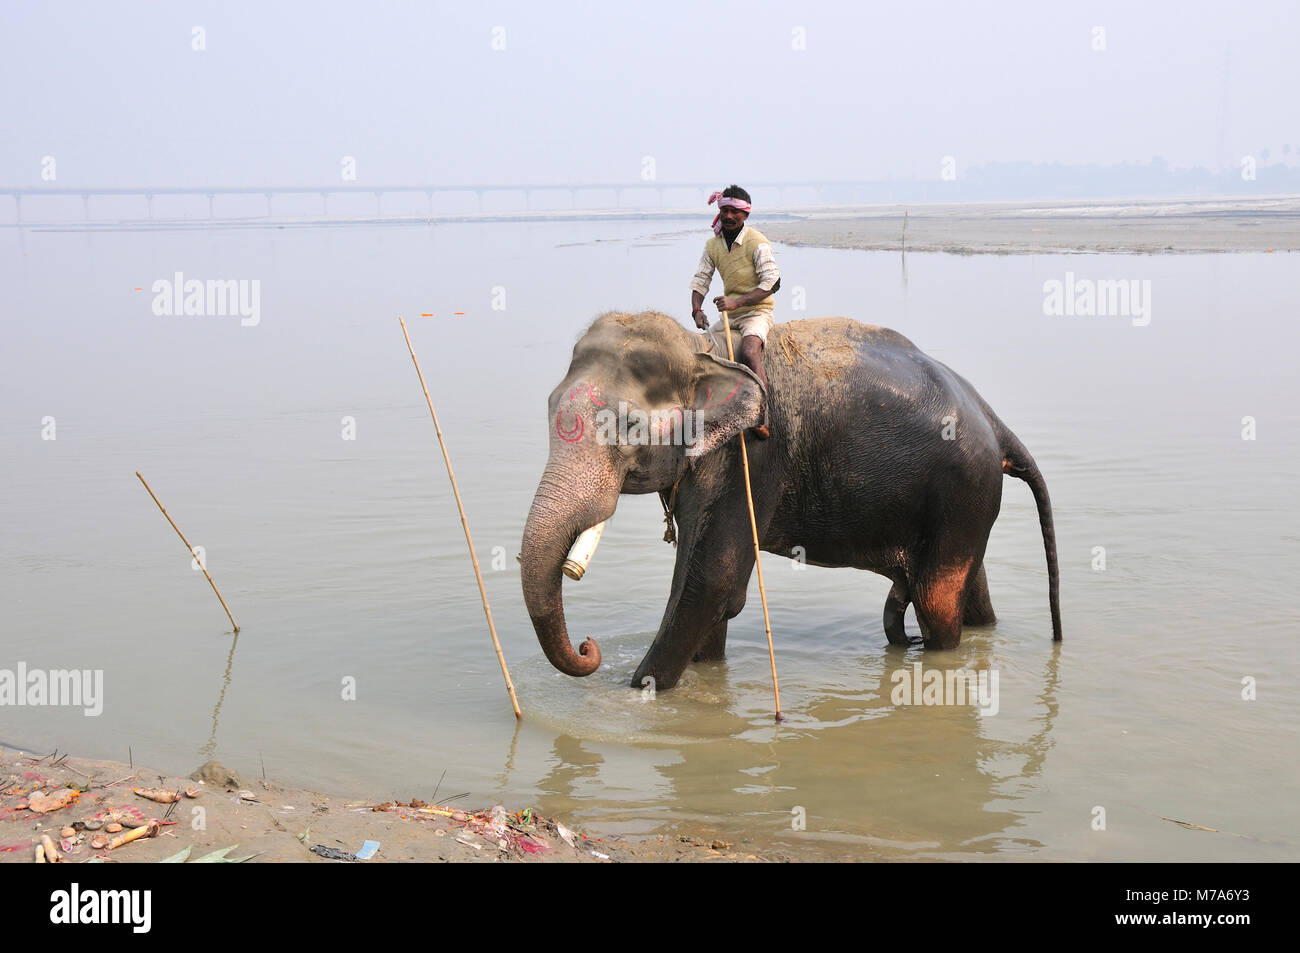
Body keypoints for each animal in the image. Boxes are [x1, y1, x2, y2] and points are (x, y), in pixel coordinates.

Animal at [517, 312, 1055, 691]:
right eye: (548, 408)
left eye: (627, 425)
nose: (588, 646)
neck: (704, 351)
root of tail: (994, 421)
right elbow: (705, 588)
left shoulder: (752, 457)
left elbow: (711, 581)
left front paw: (637, 695)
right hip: (963, 500)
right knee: (967, 588)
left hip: (963, 488)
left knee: (935, 600)